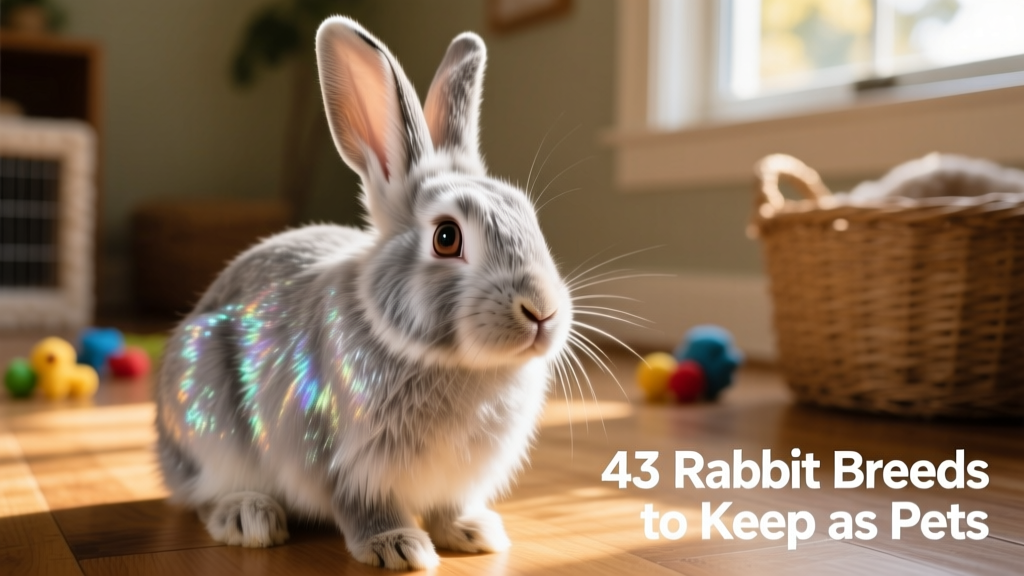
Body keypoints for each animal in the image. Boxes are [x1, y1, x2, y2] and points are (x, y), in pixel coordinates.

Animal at [154, 16, 573, 571]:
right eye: (447, 237)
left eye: (530, 218)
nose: (542, 311)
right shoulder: (349, 461)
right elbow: (363, 507)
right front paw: (398, 546)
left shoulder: (457, 477)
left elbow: (451, 506)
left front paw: (474, 532)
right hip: (207, 419)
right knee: (203, 494)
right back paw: (249, 516)